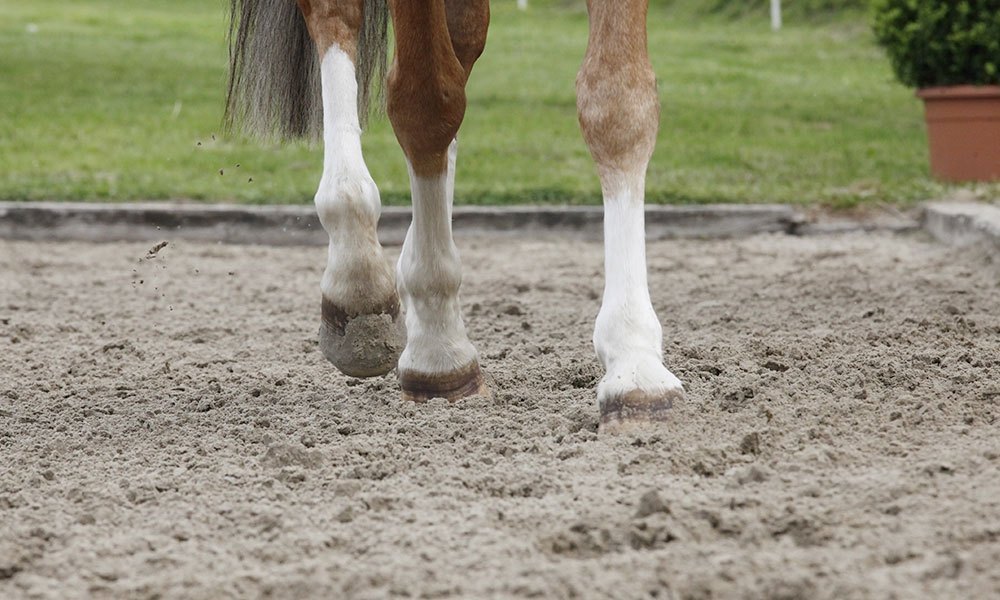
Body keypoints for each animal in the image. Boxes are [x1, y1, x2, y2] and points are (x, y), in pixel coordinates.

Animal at [223, 0, 684, 432]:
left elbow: (617, 104)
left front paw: (636, 365)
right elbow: (426, 102)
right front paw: (435, 346)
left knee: (463, 43)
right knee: (339, 18)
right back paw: (359, 284)